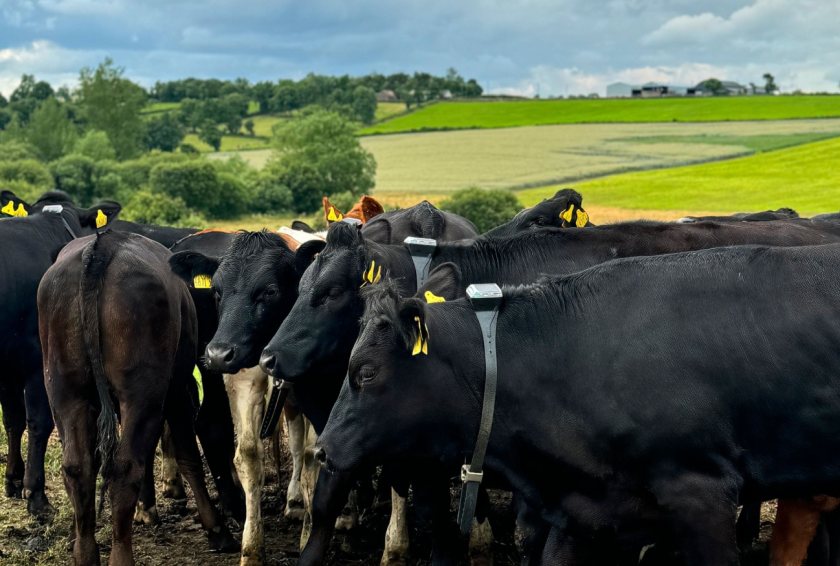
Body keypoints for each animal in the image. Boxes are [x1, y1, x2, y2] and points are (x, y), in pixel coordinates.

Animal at [0, 197, 121, 516]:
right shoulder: (37, 361)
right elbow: (39, 422)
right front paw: (36, 494)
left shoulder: (9, 365)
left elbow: (13, 420)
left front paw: (13, 480)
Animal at [37, 232, 236, 566]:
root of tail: (101, 248)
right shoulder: (176, 390)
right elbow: (188, 454)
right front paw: (216, 528)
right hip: (141, 391)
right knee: (125, 467)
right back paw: (121, 555)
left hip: (65, 391)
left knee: (78, 467)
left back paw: (85, 552)